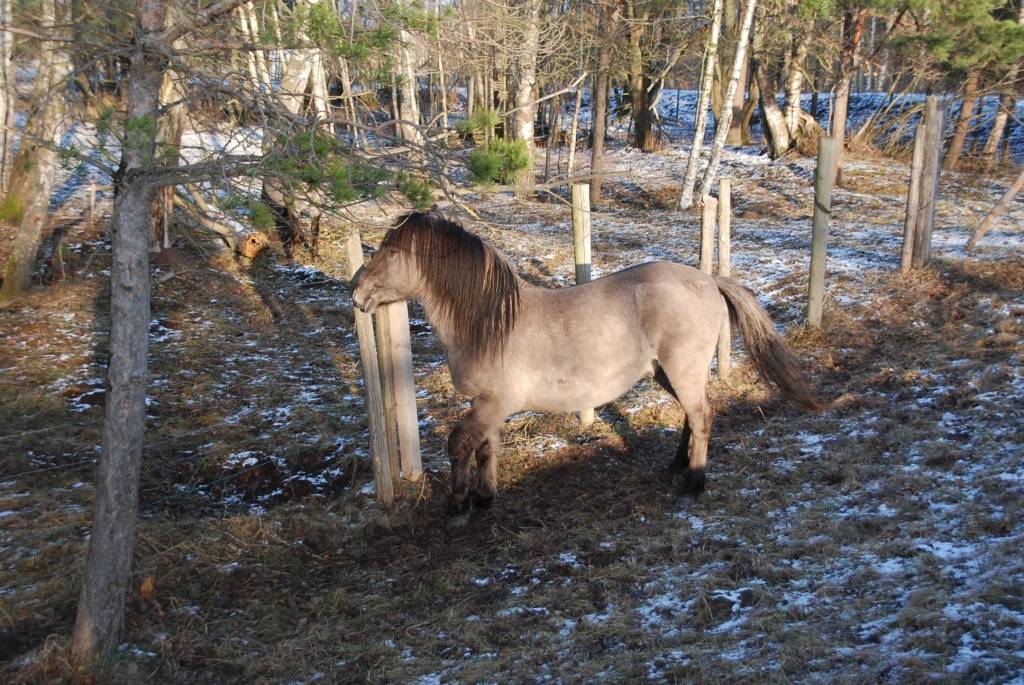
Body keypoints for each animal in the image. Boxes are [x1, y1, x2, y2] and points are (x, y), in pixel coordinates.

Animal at [354, 210, 823, 520]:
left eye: (390, 251)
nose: (355, 291)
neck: (489, 322)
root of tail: (709, 280)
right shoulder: (487, 405)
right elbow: (486, 447)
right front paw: (484, 498)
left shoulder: (496, 403)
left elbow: (460, 444)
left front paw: (458, 505)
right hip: (664, 373)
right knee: (692, 416)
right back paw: (677, 465)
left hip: (682, 369)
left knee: (703, 416)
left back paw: (694, 483)